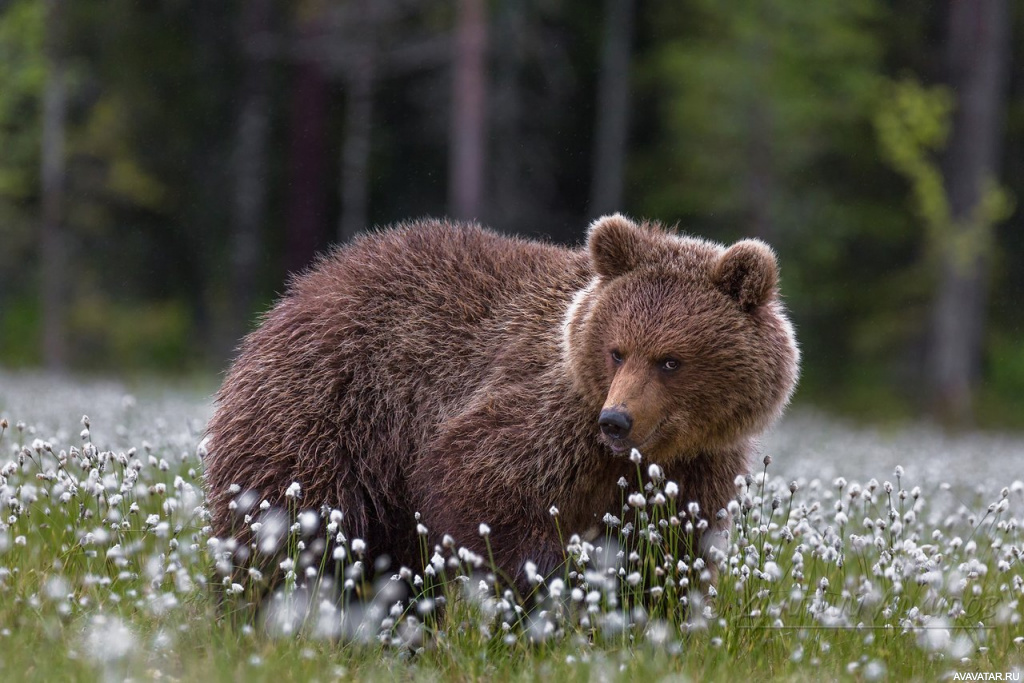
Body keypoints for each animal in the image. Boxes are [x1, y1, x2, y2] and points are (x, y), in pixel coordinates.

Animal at [203, 214, 794, 593]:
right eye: (617, 350)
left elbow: (671, 549)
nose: (616, 420)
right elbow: (481, 481)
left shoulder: (694, 466)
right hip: (330, 412)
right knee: (290, 523)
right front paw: (548, 585)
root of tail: (298, 291)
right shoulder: (545, 414)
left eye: (670, 360)